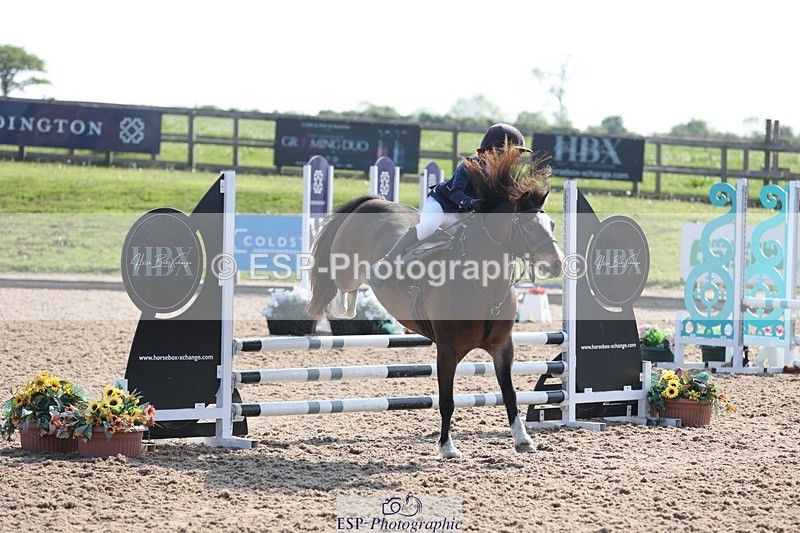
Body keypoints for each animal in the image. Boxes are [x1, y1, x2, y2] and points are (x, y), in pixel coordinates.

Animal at [305, 149, 564, 458]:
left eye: (551, 225)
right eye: (527, 226)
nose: (557, 264)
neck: (483, 283)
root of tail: (374, 201)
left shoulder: (503, 346)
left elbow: (510, 393)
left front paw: (523, 439)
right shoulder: (447, 350)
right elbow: (446, 400)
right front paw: (447, 447)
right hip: (345, 270)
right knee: (343, 288)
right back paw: (345, 303)